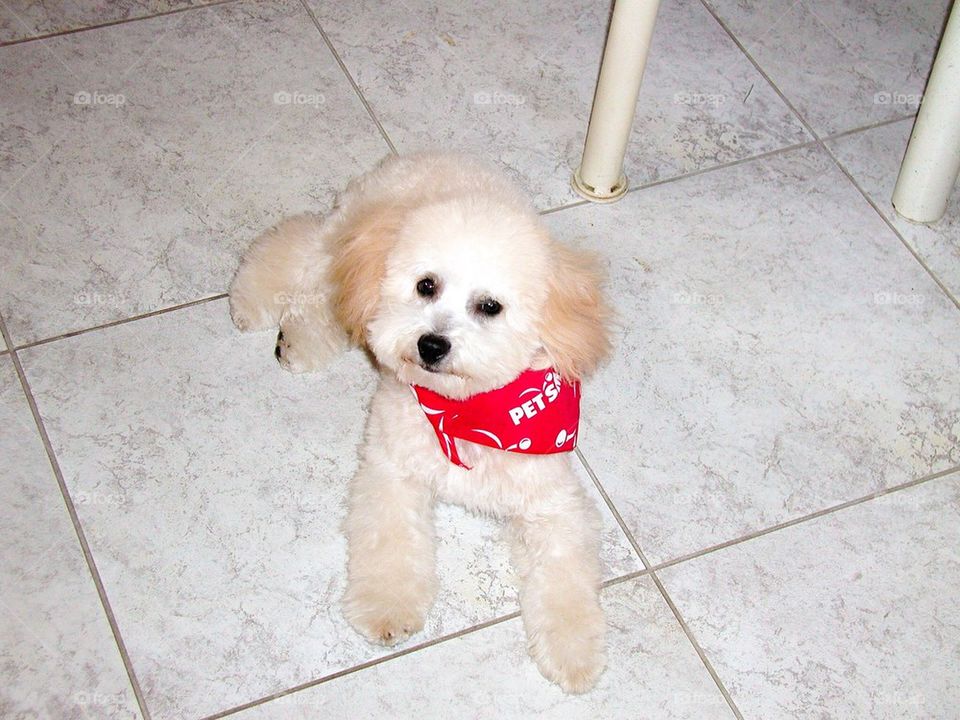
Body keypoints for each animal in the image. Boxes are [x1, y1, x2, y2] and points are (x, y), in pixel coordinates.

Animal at [229, 152, 612, 692]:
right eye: (425, 285)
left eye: (490, 306)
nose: (431, 345)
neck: (464, 413)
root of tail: (418, 158)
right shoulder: (391, 471)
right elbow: (390, 543)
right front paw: (387, 608)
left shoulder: (552, 503)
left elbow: (565, 577)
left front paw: (573, 652)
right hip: (341, 242)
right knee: (299, 255)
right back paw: (254, 302)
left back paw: (299, 341)